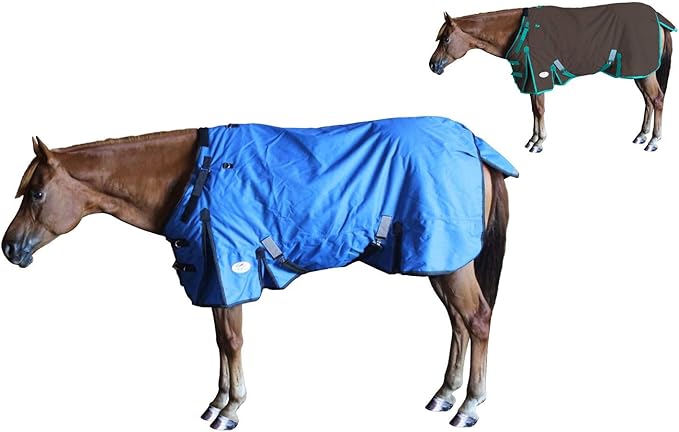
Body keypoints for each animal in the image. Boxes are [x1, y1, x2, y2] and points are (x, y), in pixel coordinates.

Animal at [2, 119, 514, 429]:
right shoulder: (212, 276)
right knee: (458, 323)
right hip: (439, 261)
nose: (9, 248)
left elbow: (232, 341)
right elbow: (220, 341)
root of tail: (474, 145)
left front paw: (230, 410)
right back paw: (444, 395)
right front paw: (217, 402)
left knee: (477, 320)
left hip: (450, 261)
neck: (198, 177)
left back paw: (469, 406)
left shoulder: (230, 269)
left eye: (37, 193)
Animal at [429, 3, 676, 153]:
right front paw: (533, 139)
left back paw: (654, 141)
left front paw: (538, 143)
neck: (518, 30)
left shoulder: (538, 75)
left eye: (446, 39)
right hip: (639, 72)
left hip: (644, 72)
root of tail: (658, 18)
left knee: (657, 100)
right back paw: (641, 136)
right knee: (648, 101)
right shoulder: (531, 79)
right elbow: (534, 110)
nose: (432, 65)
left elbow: (539, 109)